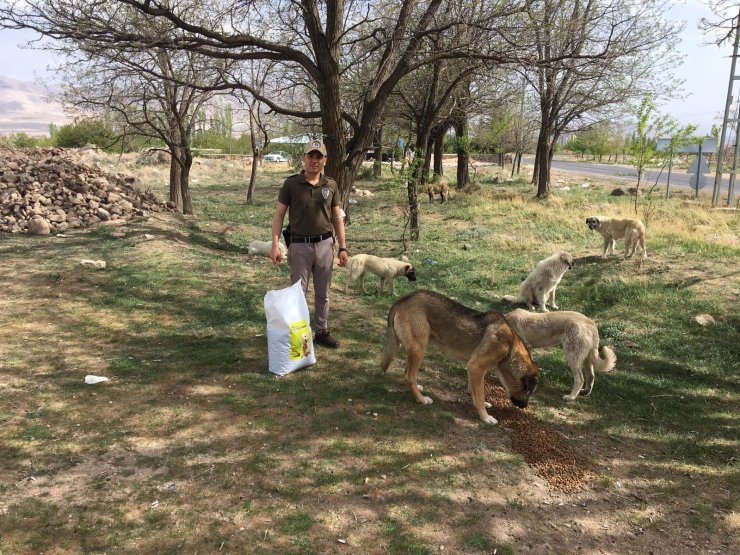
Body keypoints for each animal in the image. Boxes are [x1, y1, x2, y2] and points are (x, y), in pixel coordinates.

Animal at [382, 288, 536, 424]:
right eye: (529, 392)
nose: (524, 407)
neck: (510, 347)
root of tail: (404, 299)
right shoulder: (476, 367)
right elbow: (480, 396)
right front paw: (485, 417)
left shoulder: (473, 368)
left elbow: (474, 392)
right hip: (419, 349)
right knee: (409, 377)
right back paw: (422, 399)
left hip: (415, 350)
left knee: (408, 373)